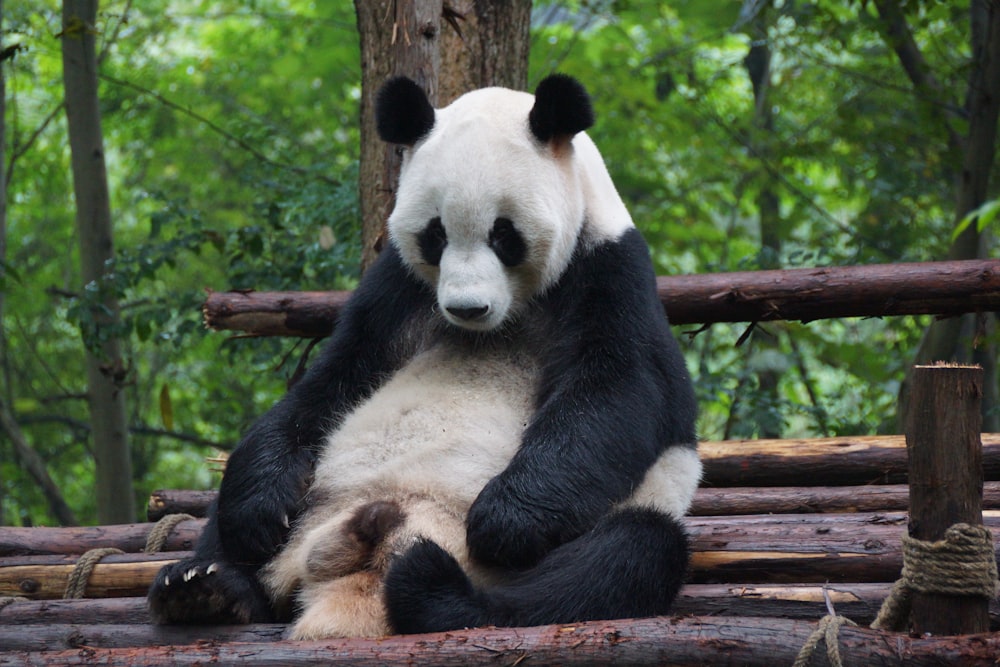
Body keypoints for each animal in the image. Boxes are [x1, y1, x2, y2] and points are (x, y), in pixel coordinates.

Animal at [148, 72, 700, 636]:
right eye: (436, 234)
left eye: (504, 234)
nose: (467, 307)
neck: (505, 318)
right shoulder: (399, 289)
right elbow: (332, 381)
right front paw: (258, 509)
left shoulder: (609, 270)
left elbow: (620, 391)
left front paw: (505, 520)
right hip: (311, 508)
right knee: (229, 523)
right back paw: (206, 587)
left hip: (625, 518)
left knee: (620, 558)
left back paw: (437, 590)